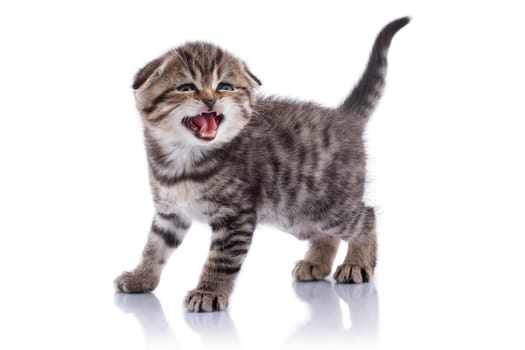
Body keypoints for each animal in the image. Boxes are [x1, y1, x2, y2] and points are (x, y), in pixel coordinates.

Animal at [114, 17, 410, 312]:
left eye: (225, 86)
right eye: (186, 88)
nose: (210, 99)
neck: (184, 158)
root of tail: (344, 117)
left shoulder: (236, 215)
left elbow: (221, 259)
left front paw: (208, 292)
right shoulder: (169, 211)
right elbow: (154, 247)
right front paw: (141, 277)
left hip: (327, 206)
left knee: (366, 216)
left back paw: (357, 263)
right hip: (296, 215)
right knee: (327, 233)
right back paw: (316, 262)